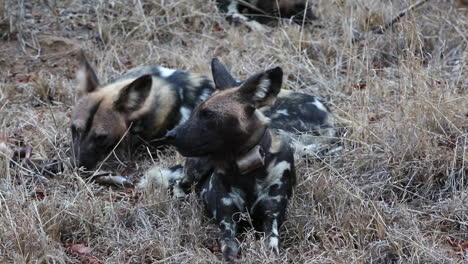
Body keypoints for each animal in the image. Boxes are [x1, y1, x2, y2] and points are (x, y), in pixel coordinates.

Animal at [151, 63, 296, 260]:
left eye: (208, 114)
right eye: (195, 112)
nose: (170, 135)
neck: (247, 168)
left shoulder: (271, 219)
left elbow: (271, 246)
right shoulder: (228, 225)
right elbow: (229, 251)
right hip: (196, 168)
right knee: (179, 183)